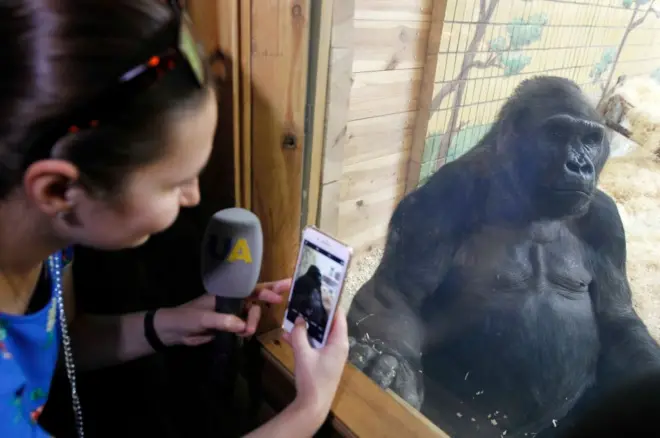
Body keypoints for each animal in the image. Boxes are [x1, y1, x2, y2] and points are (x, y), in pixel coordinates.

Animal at [346, 76, 660, 438]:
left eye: (591, 139)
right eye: (556, 134)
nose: (580, 165)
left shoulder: (606, 222)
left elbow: (616, 316)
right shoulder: (442, 196)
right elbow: (396, 294)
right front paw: (390, 362)